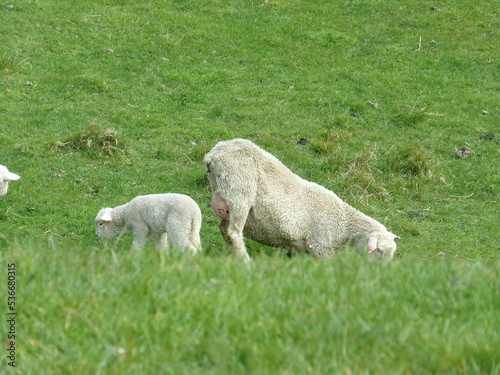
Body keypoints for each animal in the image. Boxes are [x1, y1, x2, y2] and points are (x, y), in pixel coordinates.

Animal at [203, 137, 398, 262]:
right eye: (380, 251)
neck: (344, 223)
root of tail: (214, 154)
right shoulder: (319, 245)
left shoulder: (301, 248)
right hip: (240, 189)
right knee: (233, 232)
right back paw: (245, 261)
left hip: (225, 193)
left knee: (224, 229)